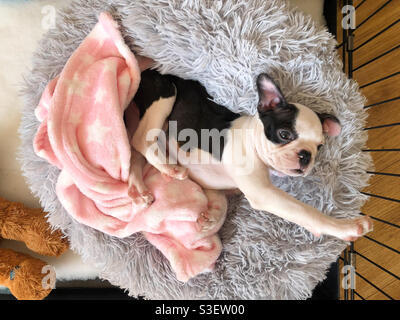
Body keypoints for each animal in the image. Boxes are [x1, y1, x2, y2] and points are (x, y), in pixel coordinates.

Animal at [127, 69, 372, 240]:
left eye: (319, 146)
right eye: (284, 134)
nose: (305, 155)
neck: (253, 139)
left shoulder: (215, 184)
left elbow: (220, 202)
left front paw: (211, 218)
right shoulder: (264, 193)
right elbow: (305, 212)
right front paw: (346, 227)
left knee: (133, 154)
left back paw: (139, 189)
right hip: (165, 93)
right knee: (140, 139)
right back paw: (169, 167)